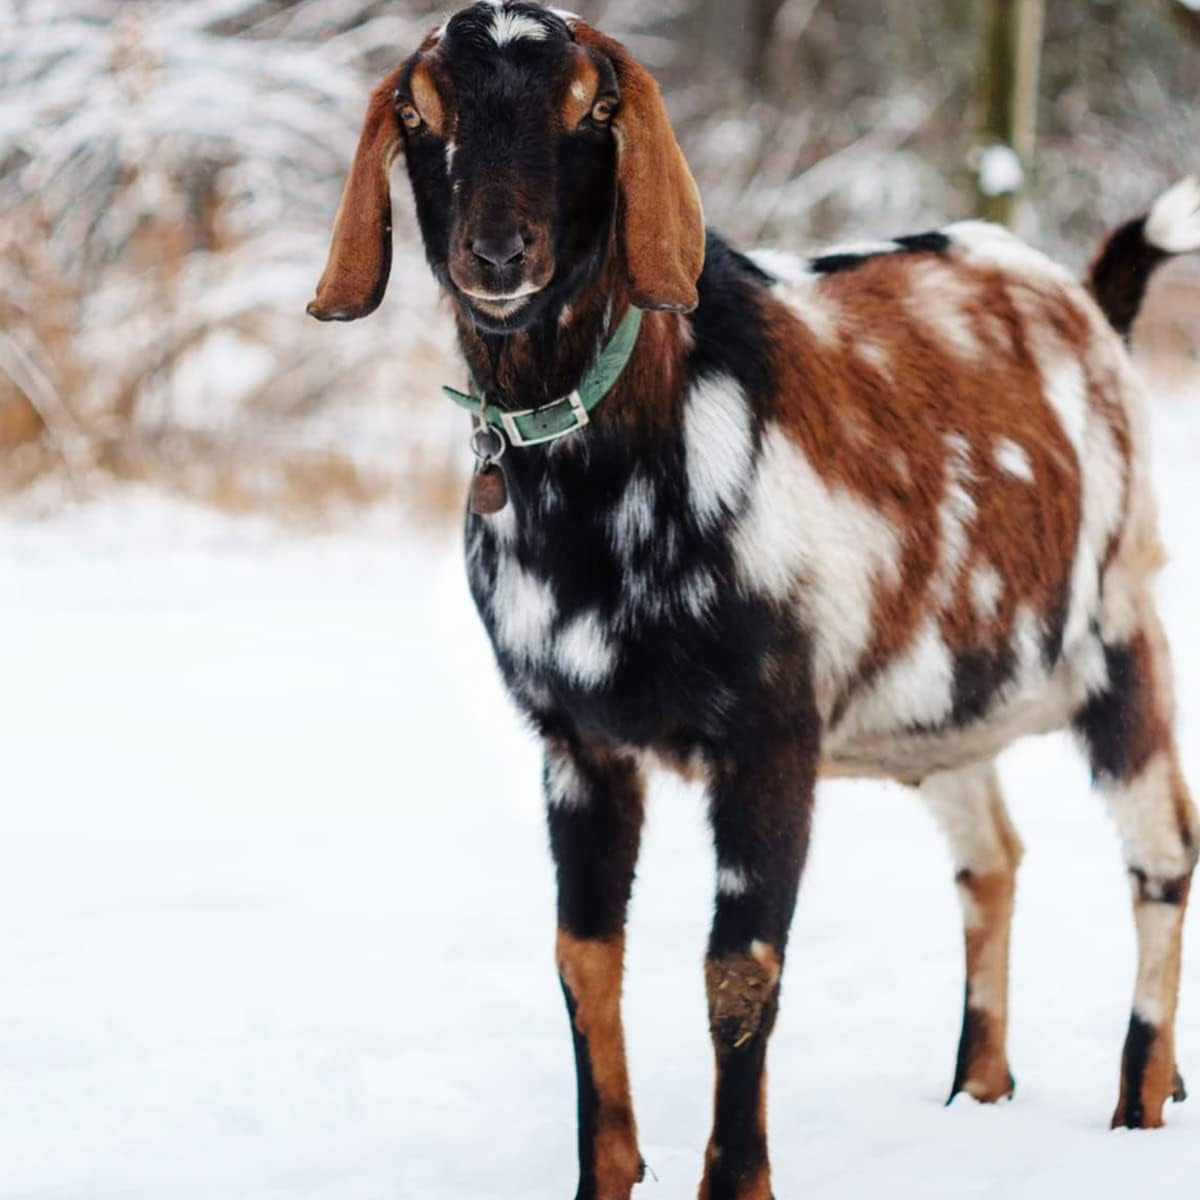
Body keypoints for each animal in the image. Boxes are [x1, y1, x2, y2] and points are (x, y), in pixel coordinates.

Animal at [308, 4, 1200, 1196]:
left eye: (593, 104)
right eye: (419, 108)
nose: (498, 254)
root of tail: (1088, 305)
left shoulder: (772, 726)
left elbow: (740, 967)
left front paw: (736, 1180)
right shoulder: (575, 739)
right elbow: (583, 955)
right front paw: (607, 1173)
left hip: (1118, 629)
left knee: (1162, 854)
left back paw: (1139, 1104)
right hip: (948, 700)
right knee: (992, 857)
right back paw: (980, 1086)